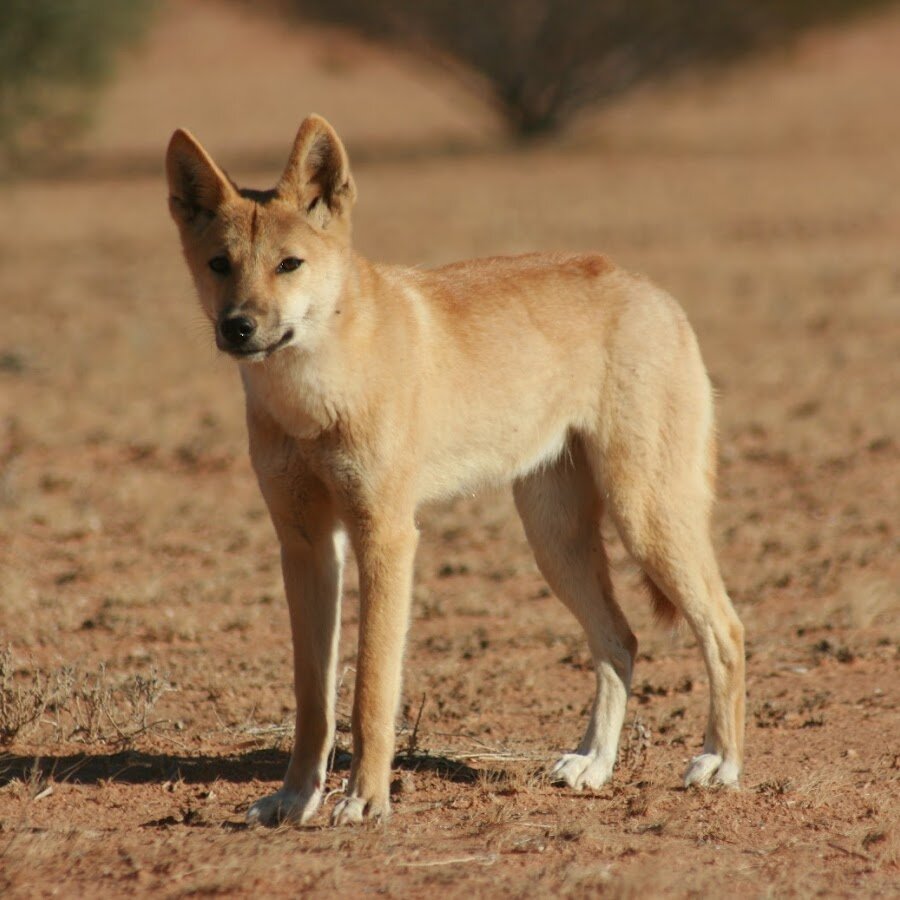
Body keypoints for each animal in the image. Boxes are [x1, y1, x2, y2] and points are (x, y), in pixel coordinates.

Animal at [167, 116, 744, 828]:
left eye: (288, 264)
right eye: (220, 264)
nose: (239, 327)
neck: (313, 392)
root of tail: (650, 288)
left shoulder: (387, 536)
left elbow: (371, 691)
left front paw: (366, 800)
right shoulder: (305, 545)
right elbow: (313, 699)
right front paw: (297, 798)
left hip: (645, 516)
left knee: (725, 630)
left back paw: (719, 762)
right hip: (555, 540)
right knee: (620, 641)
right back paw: (595, 765)